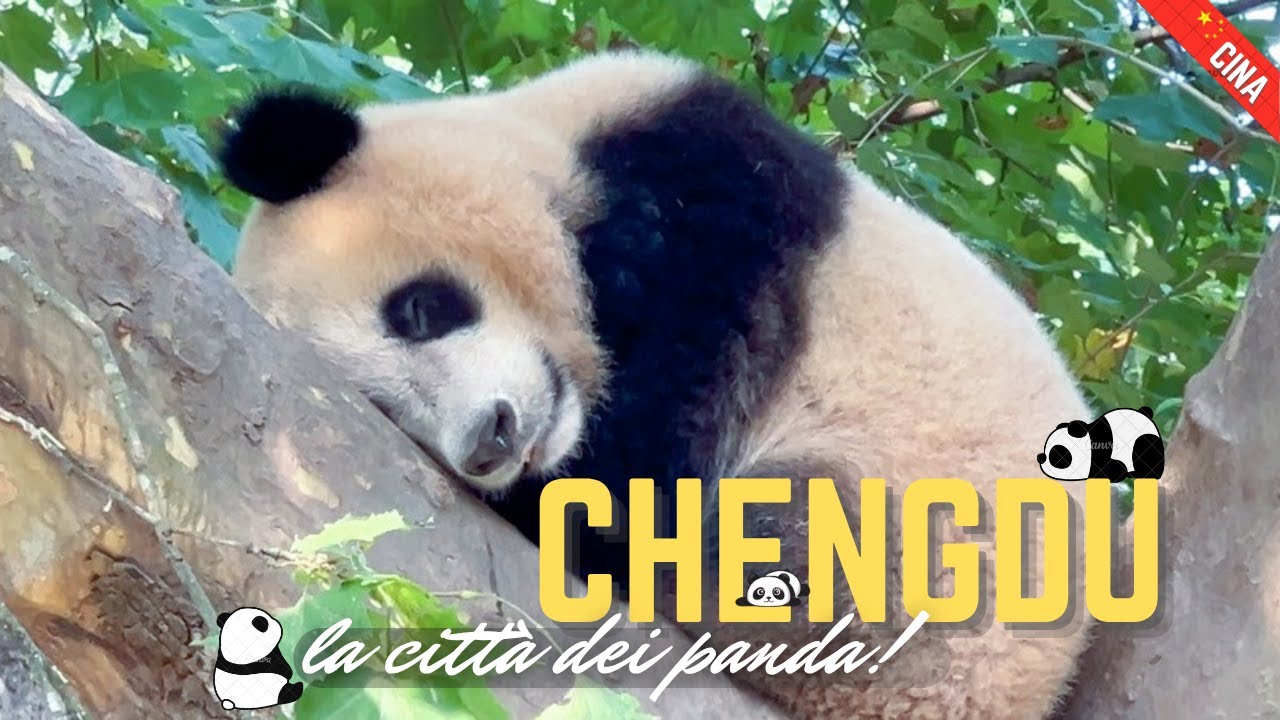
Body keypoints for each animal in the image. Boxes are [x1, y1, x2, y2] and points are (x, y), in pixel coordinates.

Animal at [220, 52, 1098, 719]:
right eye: (386, 409)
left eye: (418, 309)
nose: (491, 441)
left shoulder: (721, 213)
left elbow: (652, 464)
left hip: (921, 562)